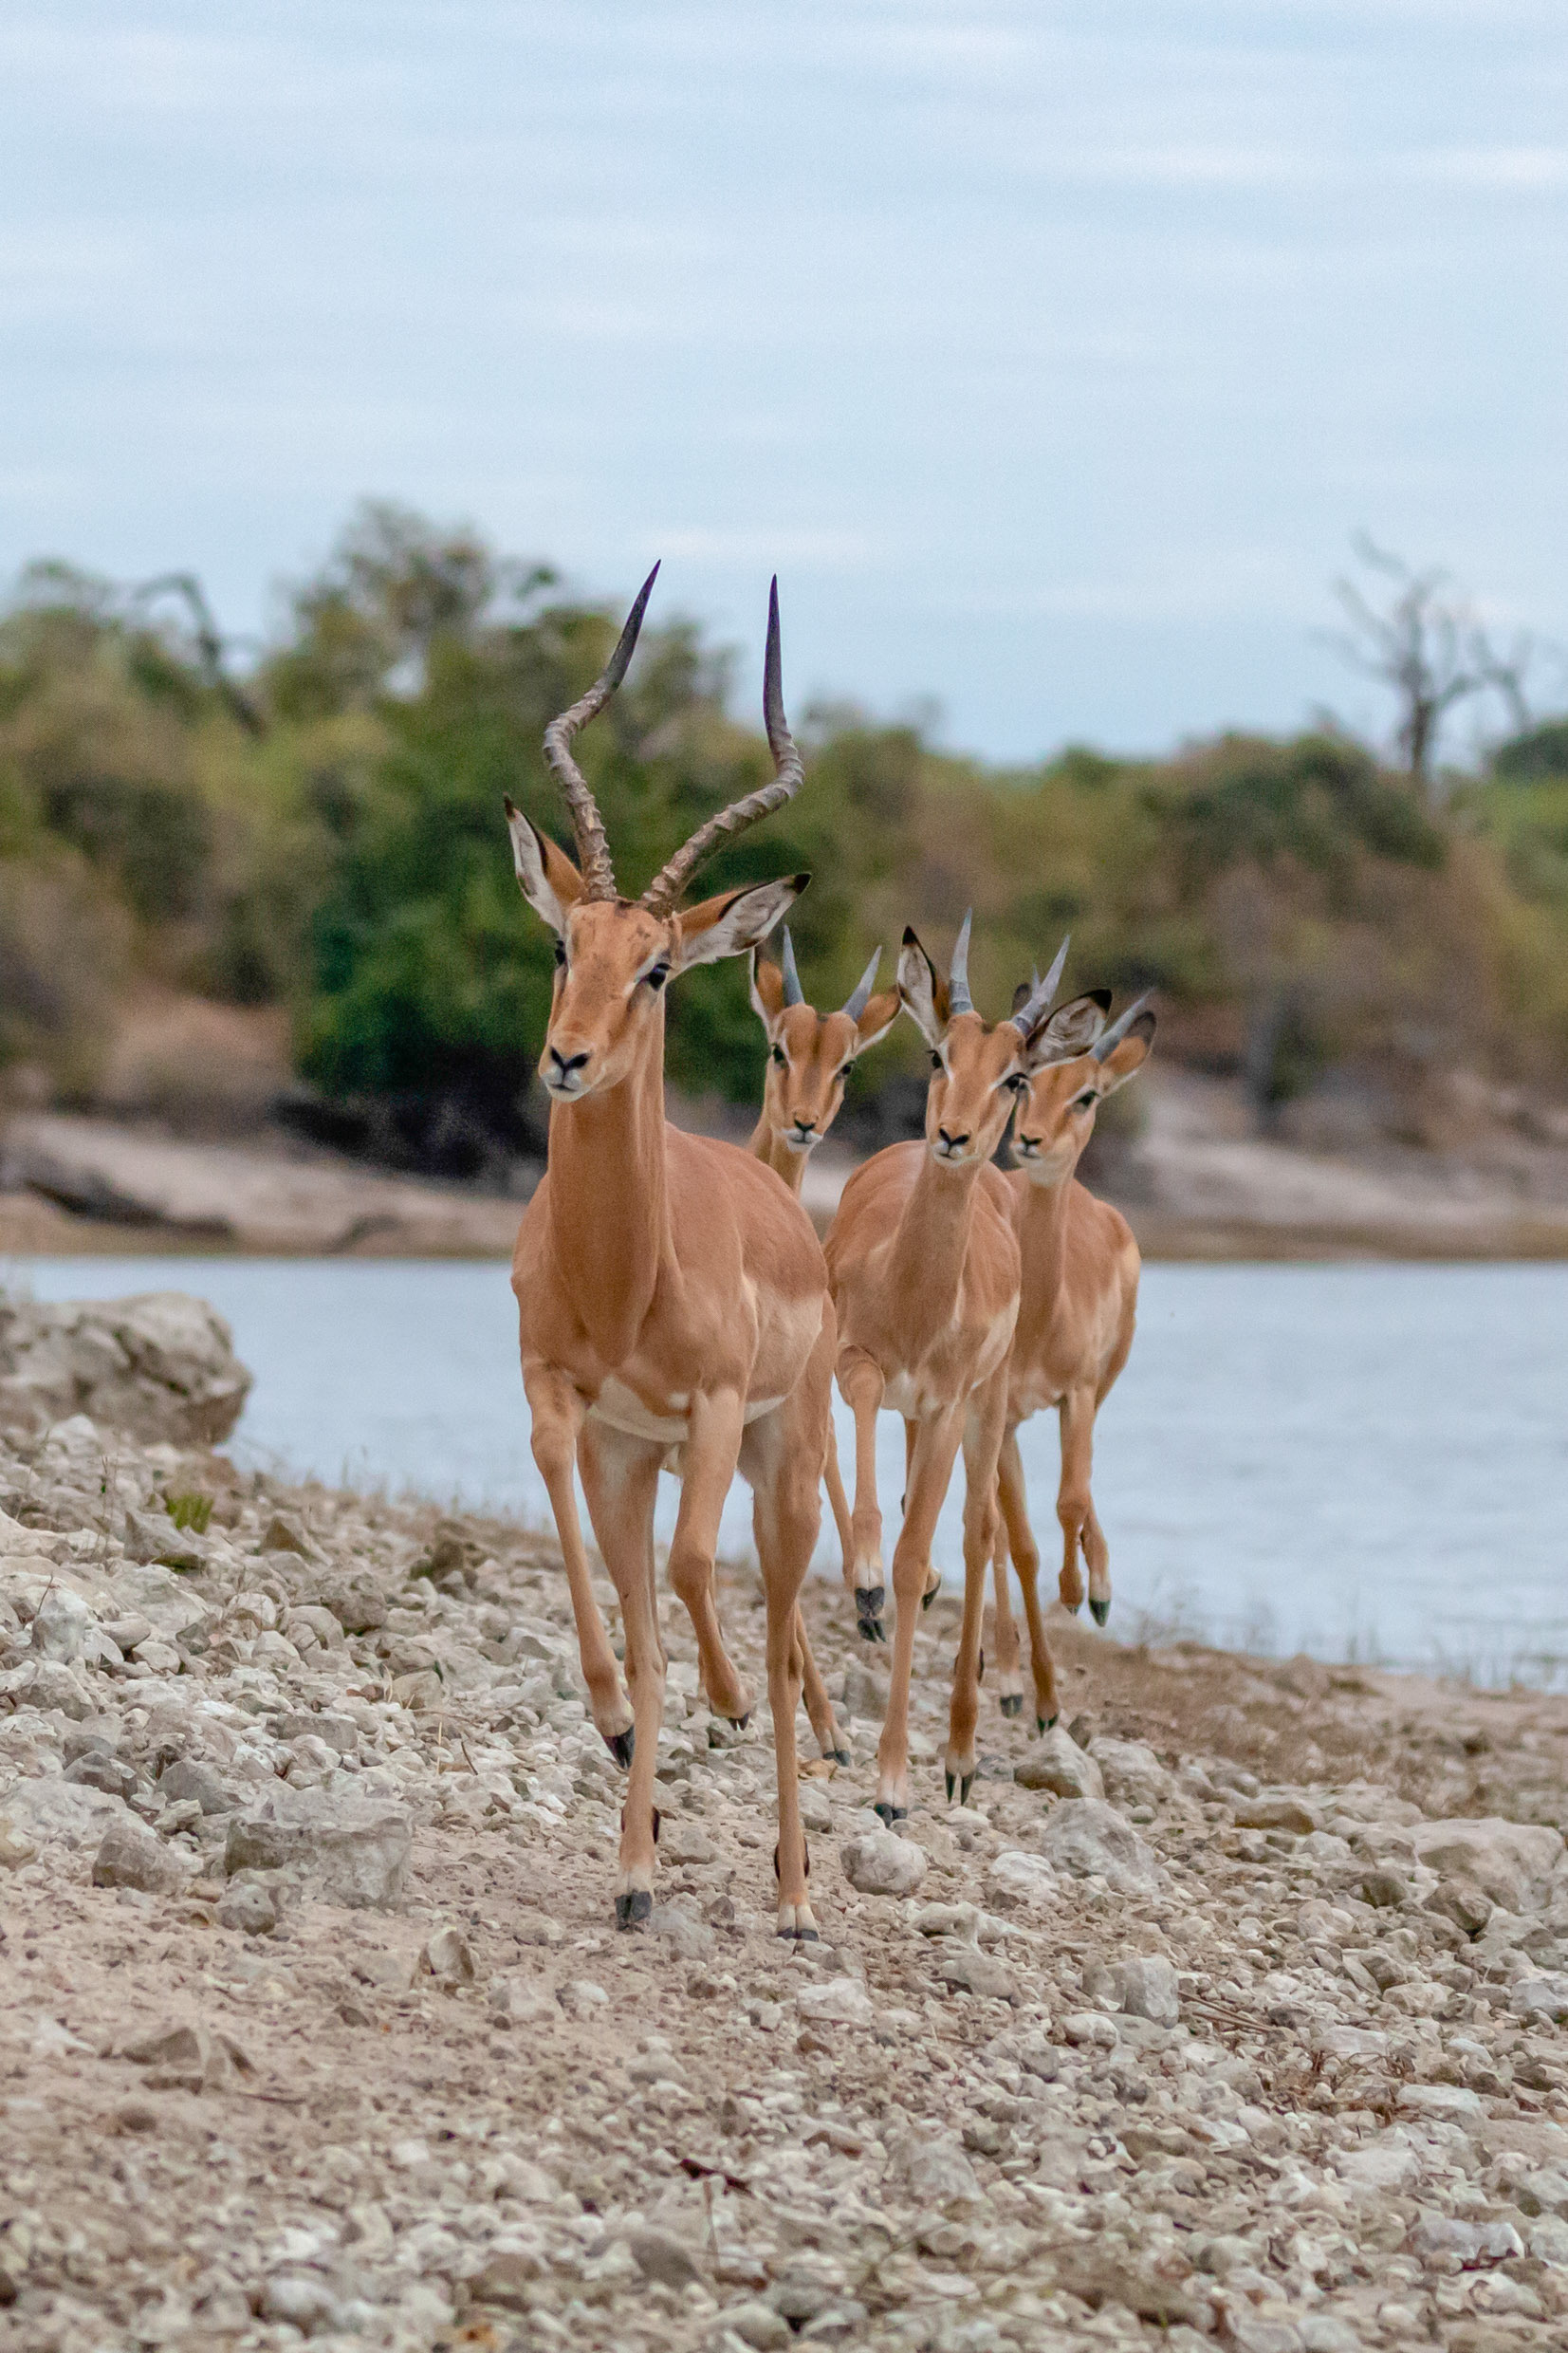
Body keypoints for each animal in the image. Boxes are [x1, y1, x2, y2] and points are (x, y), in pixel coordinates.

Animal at [825, 920, 1105, 1820]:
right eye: (937, 1053)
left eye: (1015, 1075)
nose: (952, 1136)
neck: (913, 1297)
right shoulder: (855, 1362)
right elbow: (873, 1491)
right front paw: (864, 1585)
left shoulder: (948, 1403)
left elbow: (920, 1554)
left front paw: (891, 1785)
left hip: (983, 1417)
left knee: (981, 1537)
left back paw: (959, 1756)